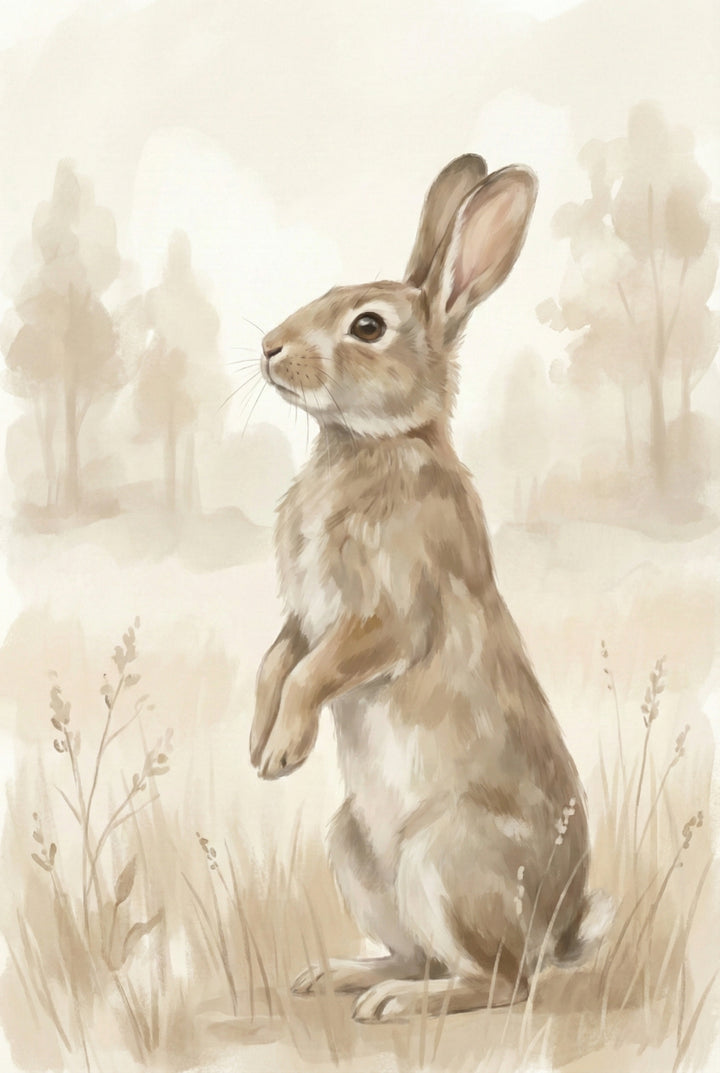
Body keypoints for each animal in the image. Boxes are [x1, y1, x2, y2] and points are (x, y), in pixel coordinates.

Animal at [249, 155, 607, 1023]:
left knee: (501, 982)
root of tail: (561, 929)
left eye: (367, 327)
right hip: (355, 851)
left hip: (445, 858)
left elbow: (313, 672)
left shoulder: (388, 614)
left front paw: (283, 749)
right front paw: (258, 745)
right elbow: (276, 663)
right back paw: (338, 976)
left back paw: (395, 1005)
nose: (269, 347)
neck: (372, 442)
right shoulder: (303, 614)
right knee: (418, 953)